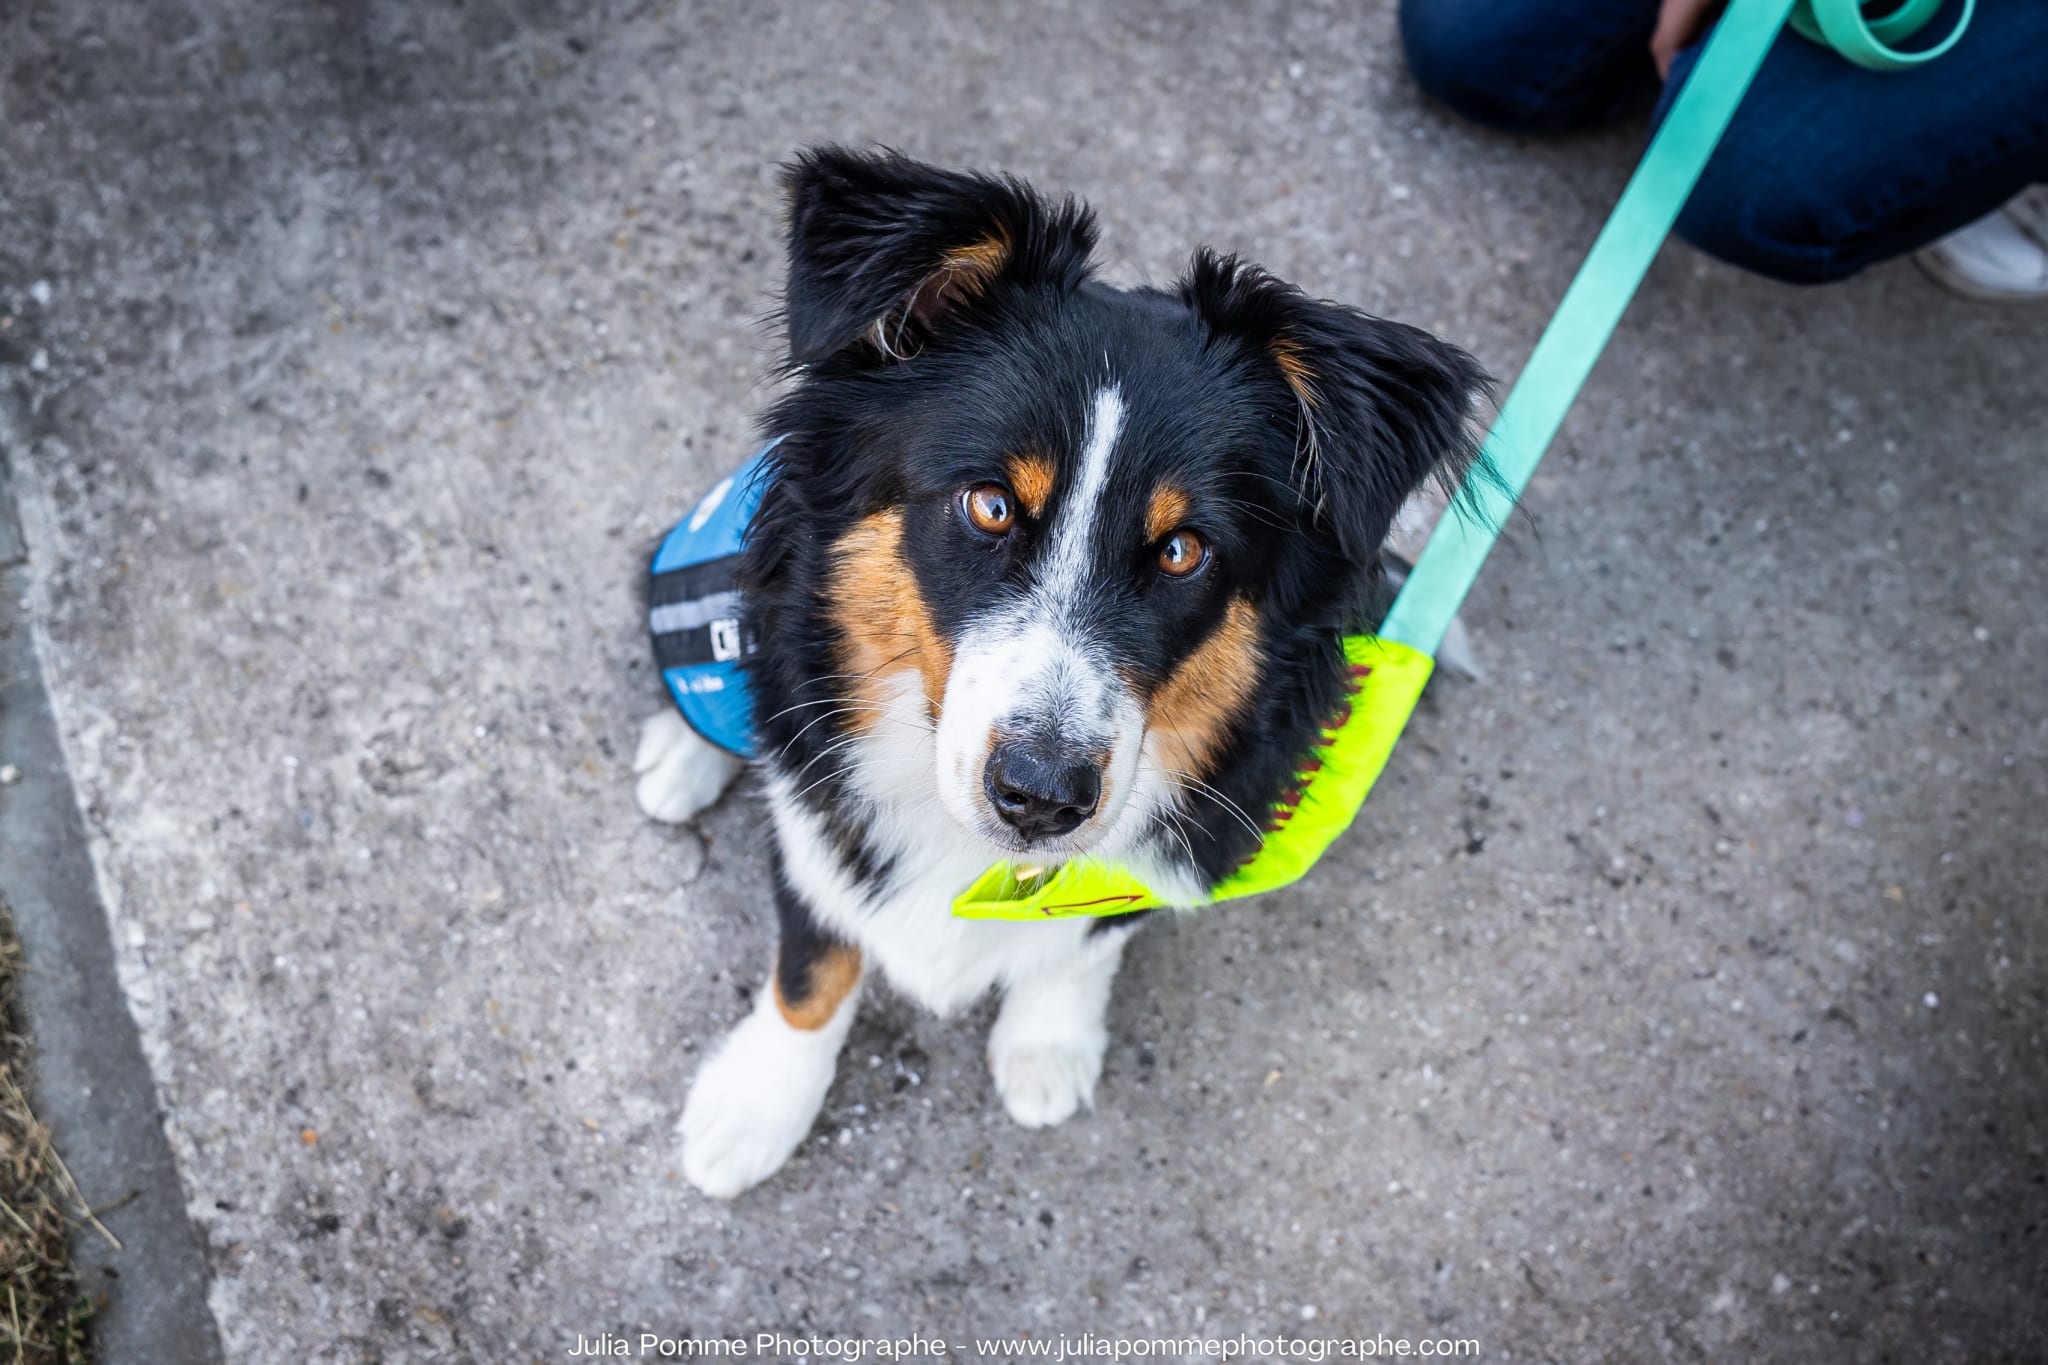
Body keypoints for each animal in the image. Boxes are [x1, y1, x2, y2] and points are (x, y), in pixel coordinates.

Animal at [630, 147, 1482, 1195]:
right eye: (991, 503)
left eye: (1183, 551)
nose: (1040, 797)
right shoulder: (811, 797)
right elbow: (813, 960)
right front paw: (756, 1105)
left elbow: (1090, 932)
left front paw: (1046, 1044)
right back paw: (681, 753)